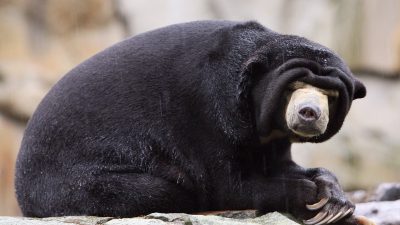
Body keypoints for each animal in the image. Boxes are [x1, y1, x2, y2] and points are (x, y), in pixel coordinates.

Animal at [15, 20, 372, 224]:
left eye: (330, 94)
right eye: (292, 87)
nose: (309, 114)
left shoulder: (269, 134)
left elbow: (277, 164)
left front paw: (334, 198)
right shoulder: (206, 110)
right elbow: (228, 183)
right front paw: (307, 195)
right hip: (76, 182)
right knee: (159, 190)